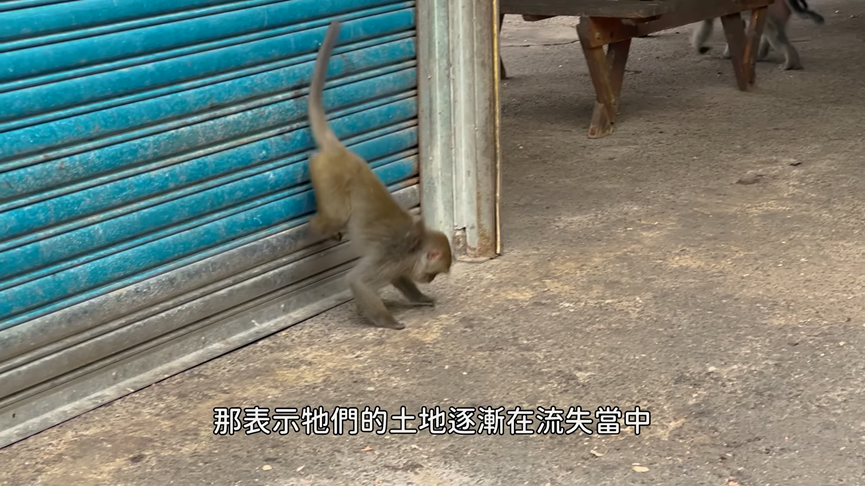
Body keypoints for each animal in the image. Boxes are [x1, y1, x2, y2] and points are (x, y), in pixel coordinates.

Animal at [304, 19, 452, 330]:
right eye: (434, 272)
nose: (430, 279)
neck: (415, 247)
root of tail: (339, 151)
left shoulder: (400, 264)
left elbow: (399, 280)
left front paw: (419, 298)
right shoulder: (394, 258)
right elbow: (358, 281)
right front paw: (388, 321)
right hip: (328, 177)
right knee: (335, 213)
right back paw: (313, 229)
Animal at [688, 0, 824, 70]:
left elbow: (708, 22)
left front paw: (699, 47)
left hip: (772, 10)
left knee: (773, 35)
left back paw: (790, 60)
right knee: (768, 32)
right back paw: (759, 56)